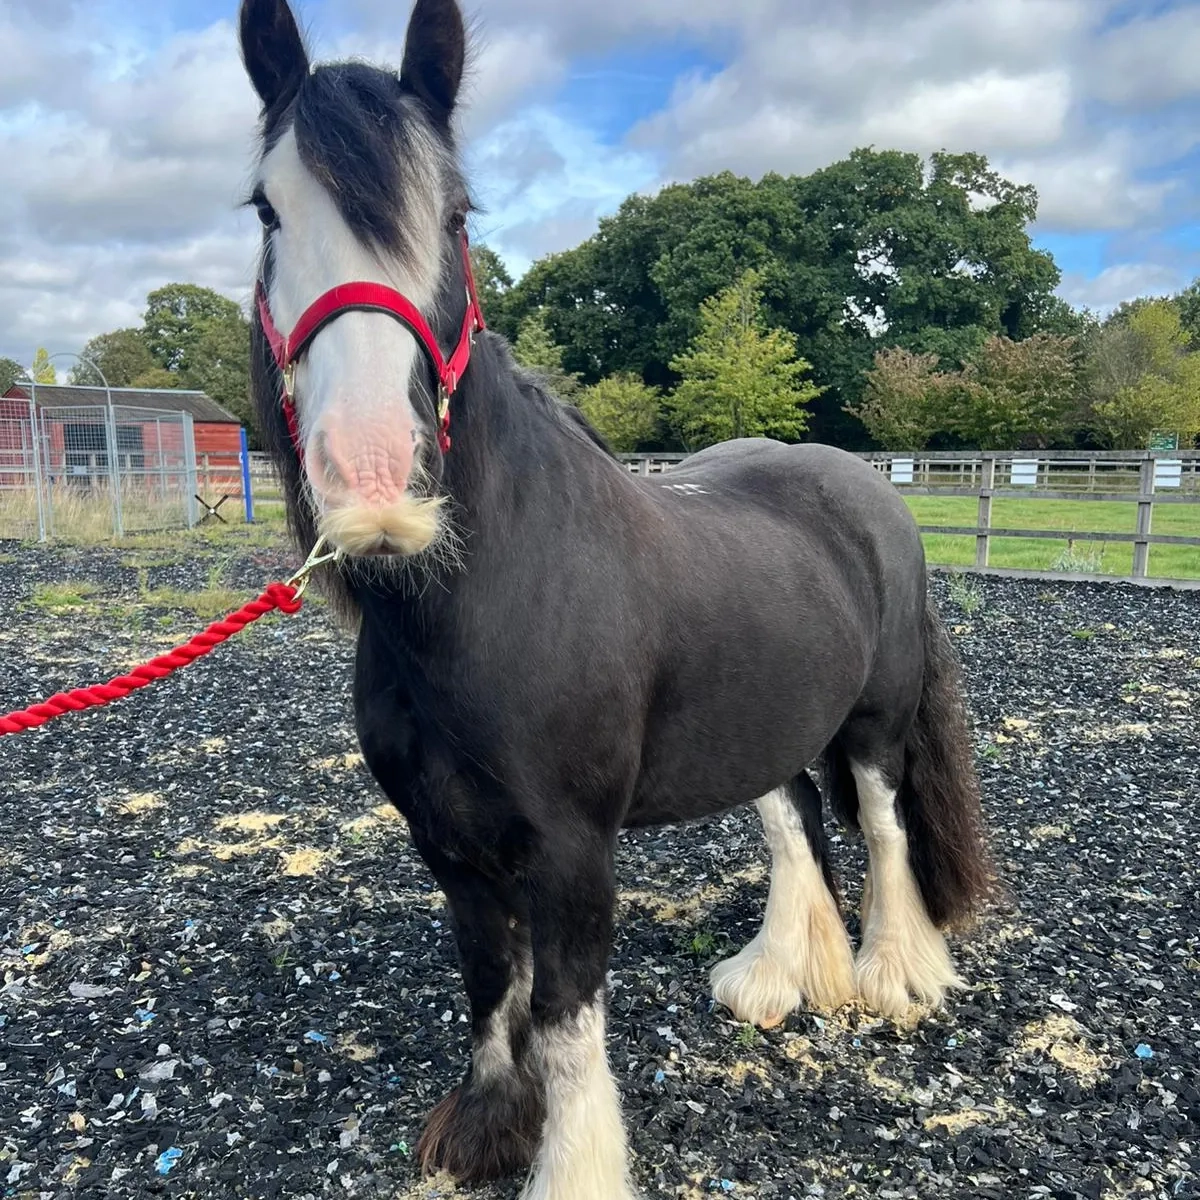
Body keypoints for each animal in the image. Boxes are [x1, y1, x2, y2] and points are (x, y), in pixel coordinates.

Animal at [238, 1, 993, 1195]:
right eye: (269, 209)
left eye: (455, 214)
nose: (374, 482)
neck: (486, 600)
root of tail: (865, 487)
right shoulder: (447, 845)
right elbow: (489, 986)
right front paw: (488, 1130)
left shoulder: (572, 849)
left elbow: (562, 1015)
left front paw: (567, 1160)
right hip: (762, 722)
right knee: (795, 821)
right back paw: (778, 979)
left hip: (877, 722)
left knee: (879, 829)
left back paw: (893, 979)